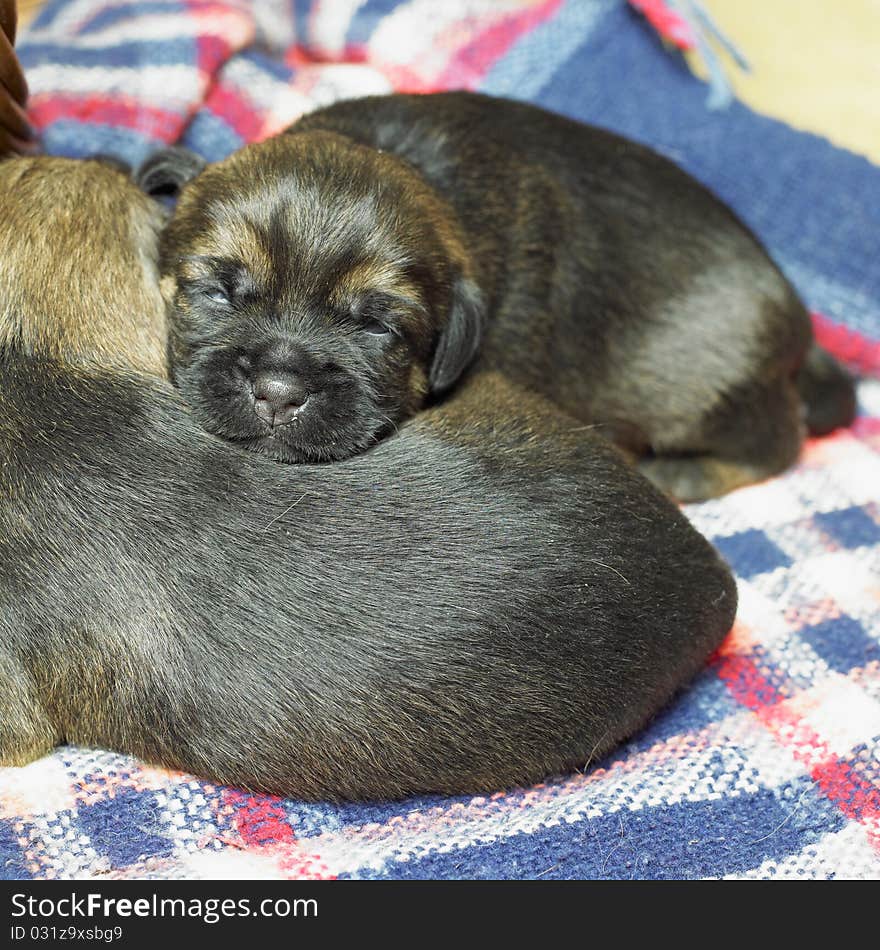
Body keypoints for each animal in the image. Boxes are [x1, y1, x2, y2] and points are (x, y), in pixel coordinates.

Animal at [144, 93, 852, 502]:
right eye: (217, 293)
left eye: (378, 329)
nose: (279, 392)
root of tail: (799, 327)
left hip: (697, 393)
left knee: (780, 439)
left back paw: (684, 474)